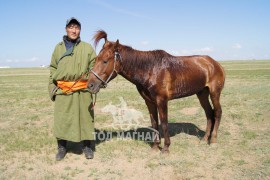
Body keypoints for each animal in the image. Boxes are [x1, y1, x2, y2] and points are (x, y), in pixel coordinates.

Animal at [87, 29, 225, 153]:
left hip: (214, 93)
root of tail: (215, 63)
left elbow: (164, 123)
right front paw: (155, 146)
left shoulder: (162, 100)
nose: (90, 85)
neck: (151, 69)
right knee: (209, 114)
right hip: (202, 93)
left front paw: (166, 148)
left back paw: (213, 140)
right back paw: (204, 139)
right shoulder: (149, 102)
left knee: (217, 112)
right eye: (96, 59)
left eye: (105, 61)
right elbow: (154, 123)